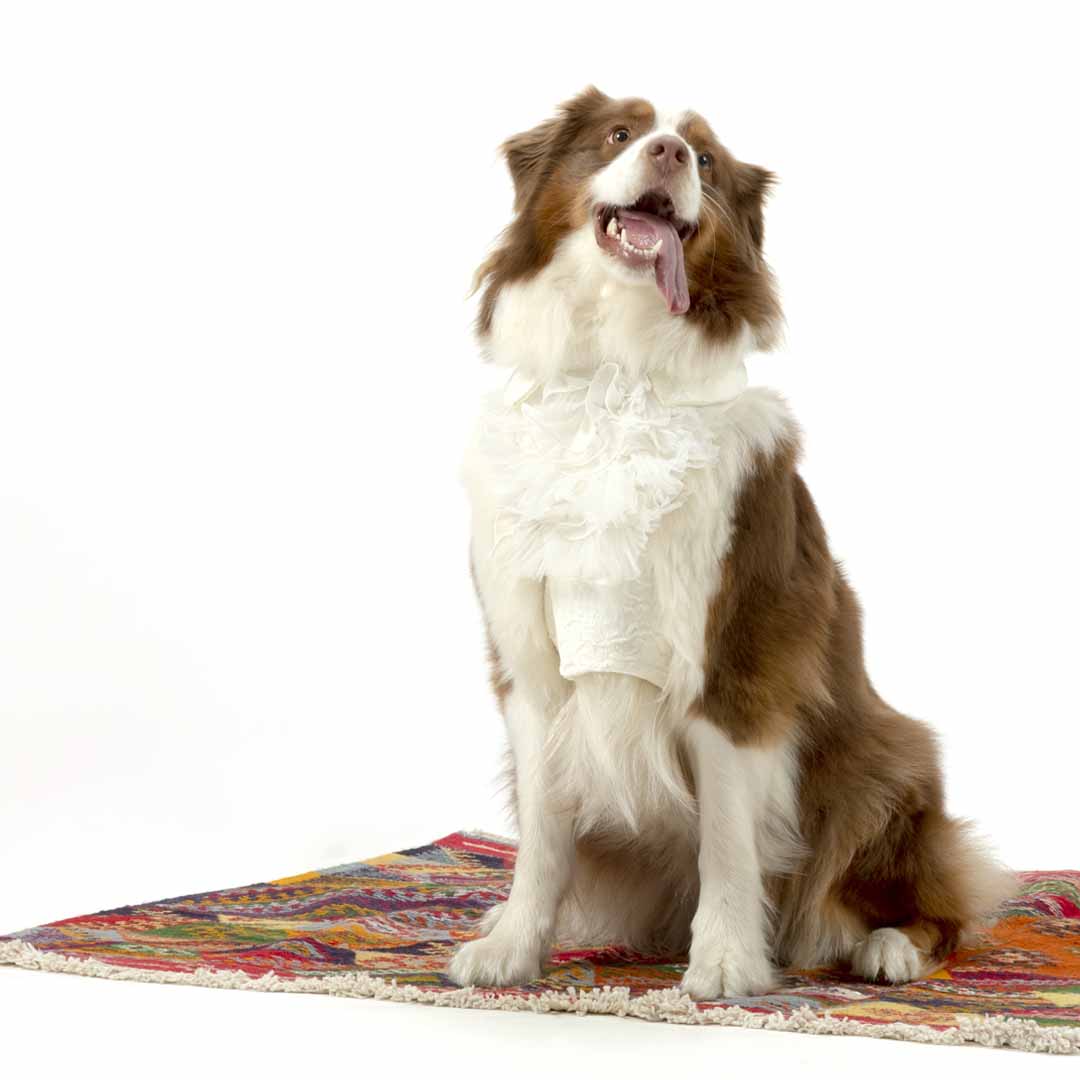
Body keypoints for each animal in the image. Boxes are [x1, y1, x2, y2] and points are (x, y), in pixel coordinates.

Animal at [451, 88, 1015, 997]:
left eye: (707, 161)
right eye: (620, 134)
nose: (671, 153)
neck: (616, 380)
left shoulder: (737, 657)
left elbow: (726, 833)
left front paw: (722, 961)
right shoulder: (530, 660)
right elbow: (542, 831)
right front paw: (513, 946)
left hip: (881, 759)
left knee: (933, 898)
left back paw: (888, 947)